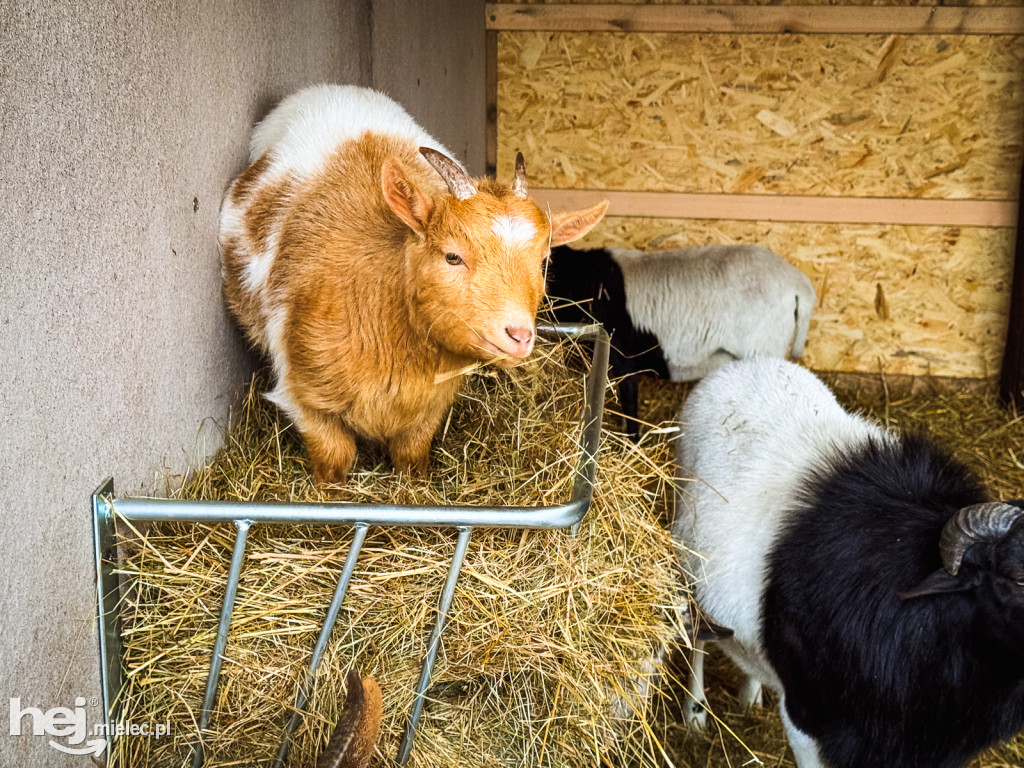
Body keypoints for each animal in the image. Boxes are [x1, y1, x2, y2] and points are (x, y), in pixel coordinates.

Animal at [220, 83, 602, 481]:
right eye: (452, 256)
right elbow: (333, 461)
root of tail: (330, 90)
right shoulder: (304, 399)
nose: (520, 335)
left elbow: (411, 458)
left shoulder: (429, 406)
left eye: (544, 261)